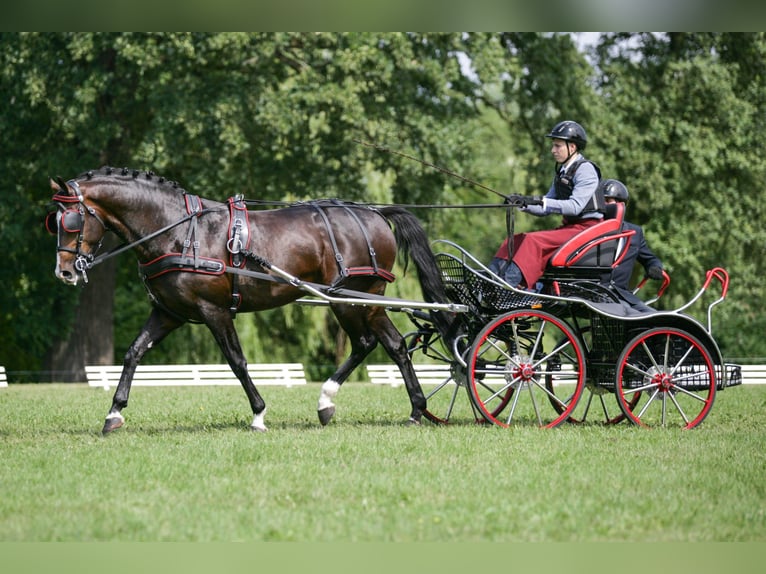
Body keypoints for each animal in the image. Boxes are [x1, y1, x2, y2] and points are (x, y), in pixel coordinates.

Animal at [48, 166, 452, 432]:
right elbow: (134, 352)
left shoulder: (214, 311)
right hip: (366, 300)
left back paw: (327, 401)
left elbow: (237, 361)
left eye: (70, 220)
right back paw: (415, 410)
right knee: (394, 345)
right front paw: (114, 413)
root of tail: (374, 212)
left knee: (366, 342)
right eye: (53, 221)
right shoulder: (167, 313)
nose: (64, 272)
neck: (178, 230)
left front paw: (258, 414)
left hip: (348, 299)